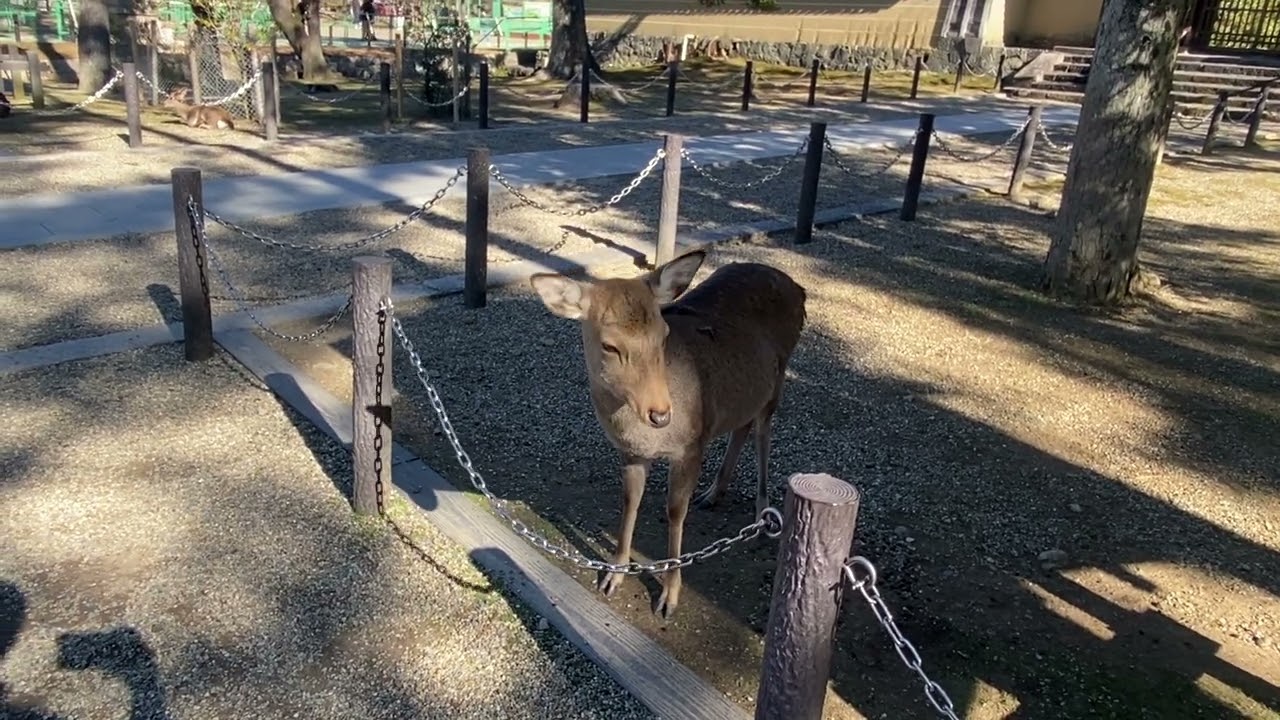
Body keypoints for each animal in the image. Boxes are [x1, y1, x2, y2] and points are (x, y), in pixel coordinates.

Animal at [530, 249, 807, 618]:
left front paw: (668, 596)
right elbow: (630, 501)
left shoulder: (690, 446)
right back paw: (713, 494)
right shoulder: (631, 453)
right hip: (746, 390)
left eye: (663, 334)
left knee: (763, 434)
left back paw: (762, 515)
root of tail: (798, 288)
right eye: (609, 346)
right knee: (742, 425)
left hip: (776, 382)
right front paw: (613, 575)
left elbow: (675, 513)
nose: (661, 413)